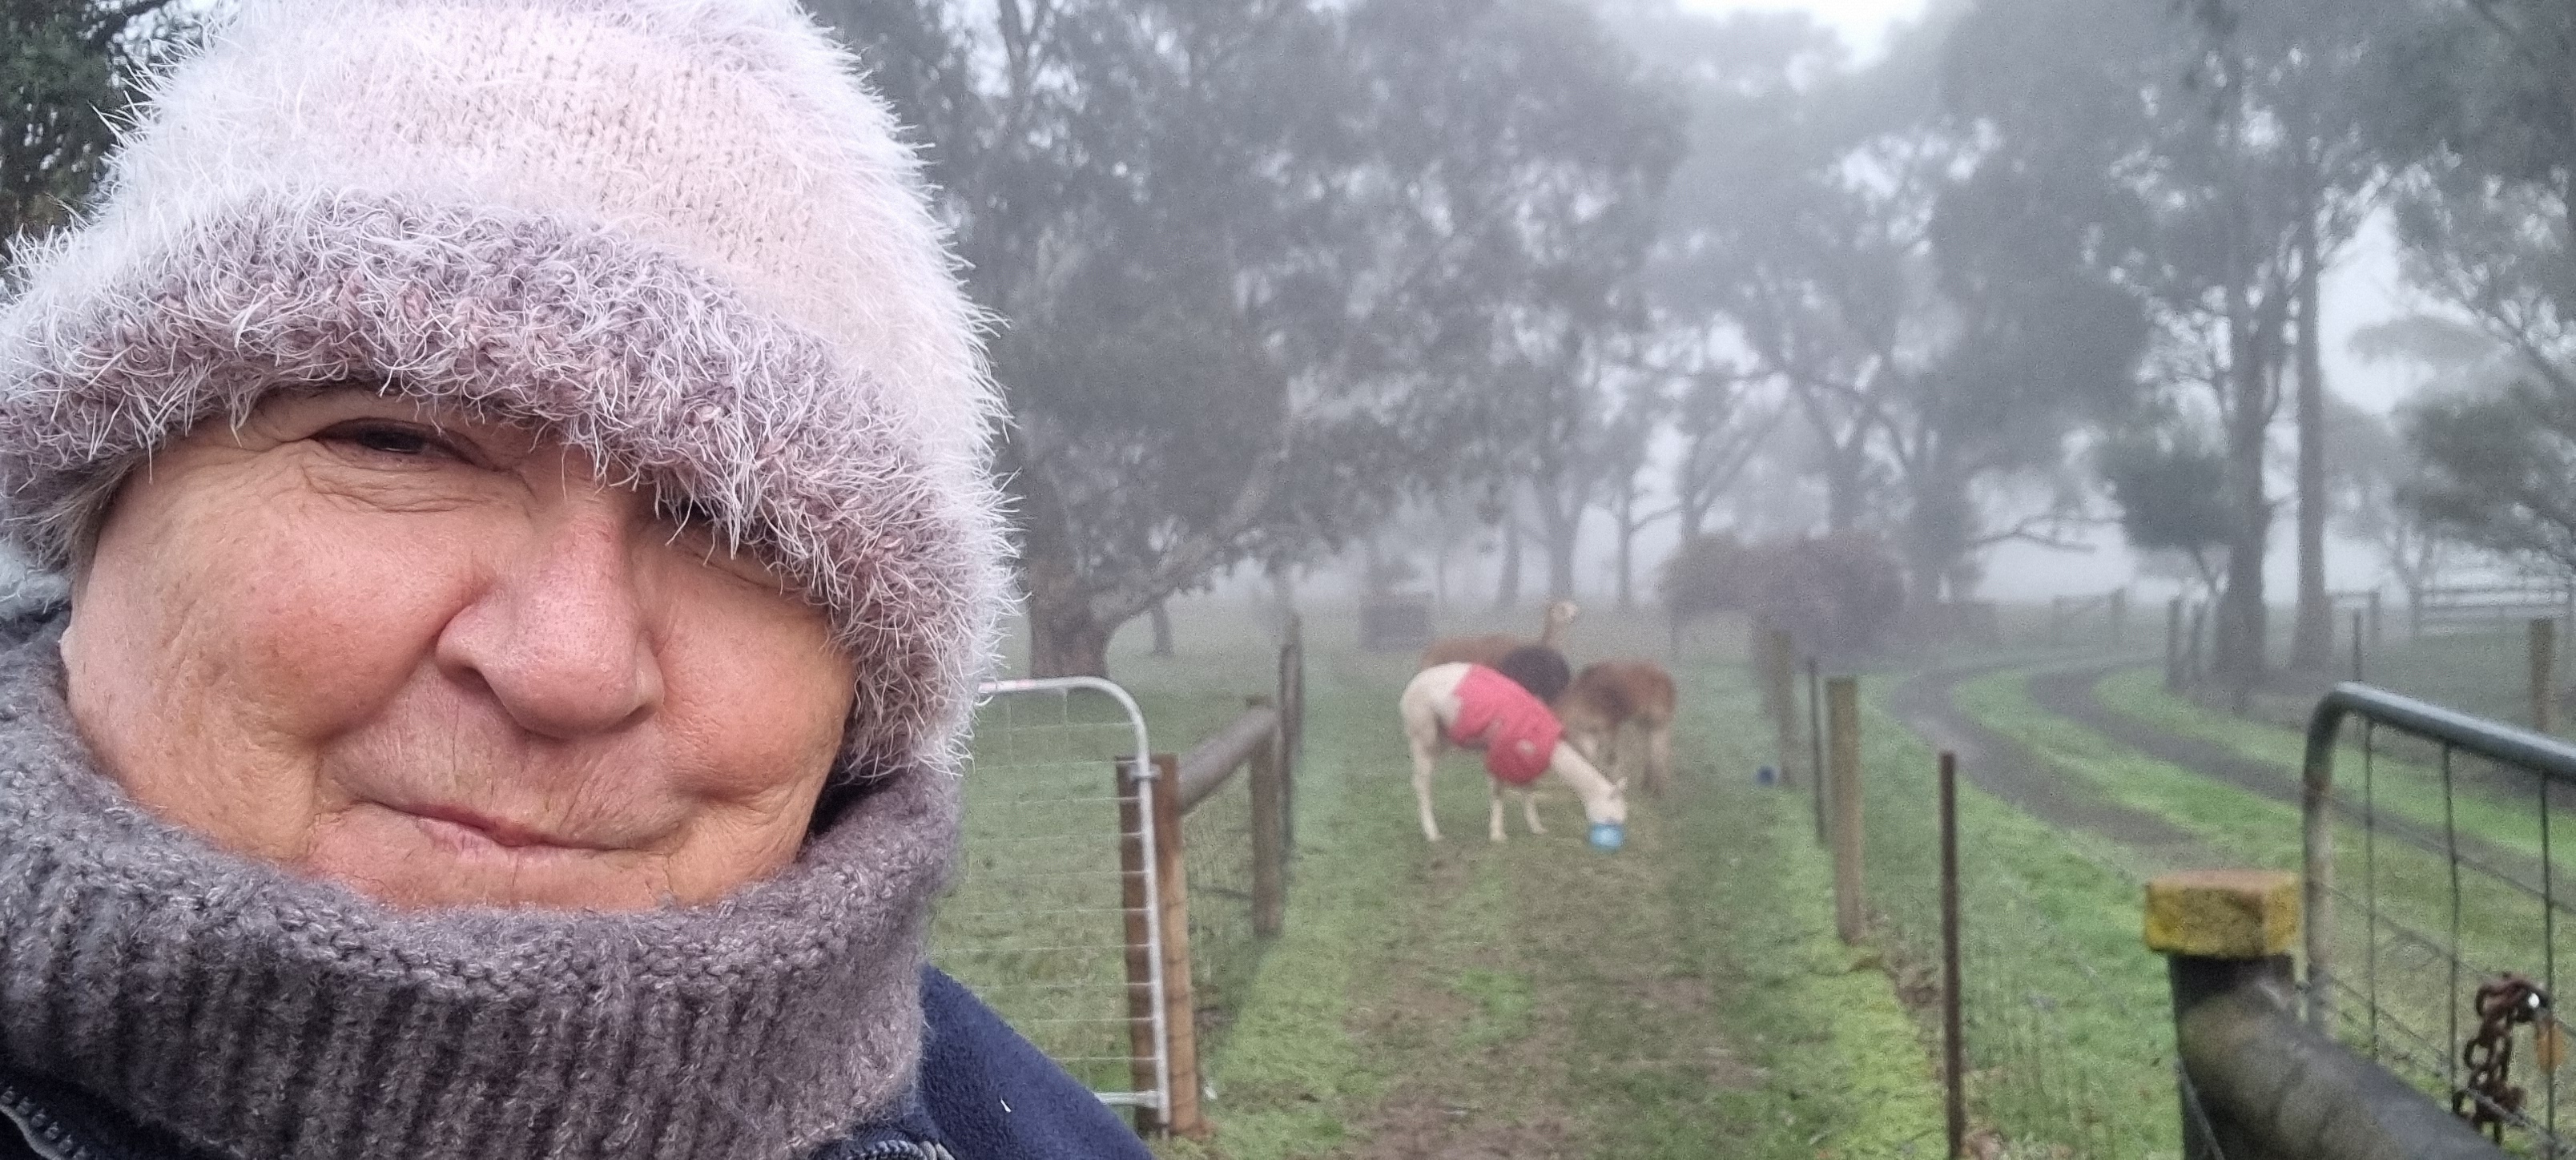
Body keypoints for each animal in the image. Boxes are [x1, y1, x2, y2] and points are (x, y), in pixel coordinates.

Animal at [1399, 661, 1626, 847]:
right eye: (1612, 818)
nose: (1615, 837)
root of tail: (1409, 689)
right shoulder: (1497, 750)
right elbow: (1498, 791)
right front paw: (1497, 835)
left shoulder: (1525, 757)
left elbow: (1528, 789)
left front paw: (1537, 828)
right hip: (1422, 729)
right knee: (1421, 782)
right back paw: (1433, 834)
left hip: (1442, 736)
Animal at [1557, 660, 1678, 797]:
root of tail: (1666, 676)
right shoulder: (1587, 732)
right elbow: (1589, 758)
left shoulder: (1611, 726)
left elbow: (1611, 758)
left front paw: (1612, 786)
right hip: (1643, 722)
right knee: (1648, 746)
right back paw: (1647, 784)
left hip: (1659, 719)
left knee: (1660, 749)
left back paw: (1658, 789)